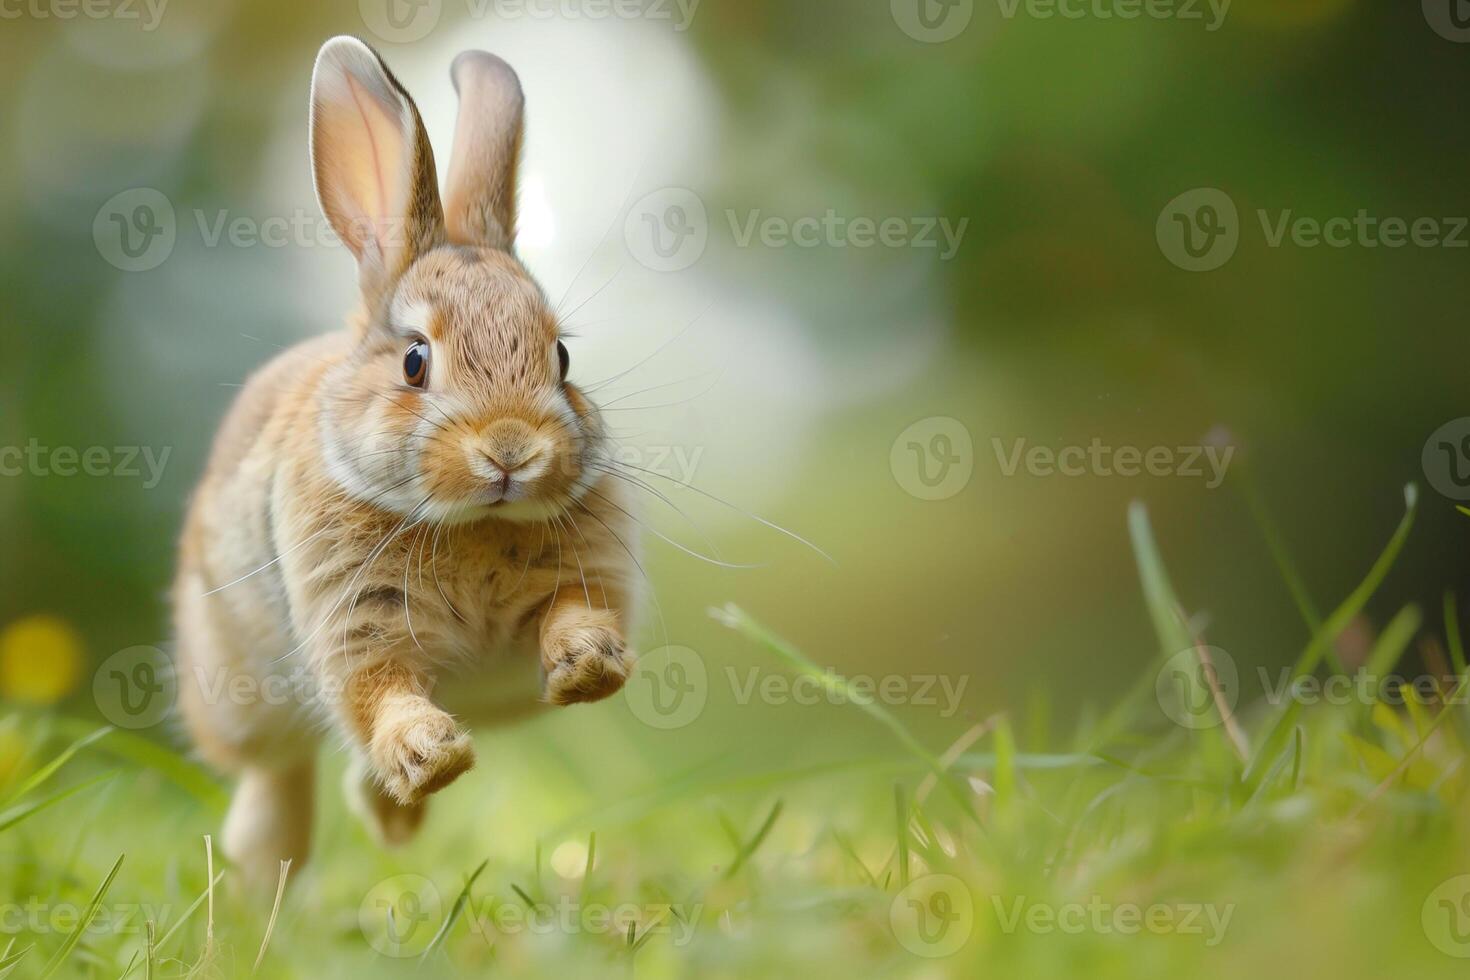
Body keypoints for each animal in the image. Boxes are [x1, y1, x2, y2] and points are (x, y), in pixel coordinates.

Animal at [169, 34, 640, 887]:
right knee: (279, 780)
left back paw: (389, 824)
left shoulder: (579, 575)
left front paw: (587, 665)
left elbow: (570, 615)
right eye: (415, 362)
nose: (512, 449)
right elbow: (376, 693)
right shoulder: (355, 622)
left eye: (560, 359)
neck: (471, 521)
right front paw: (433, 754)